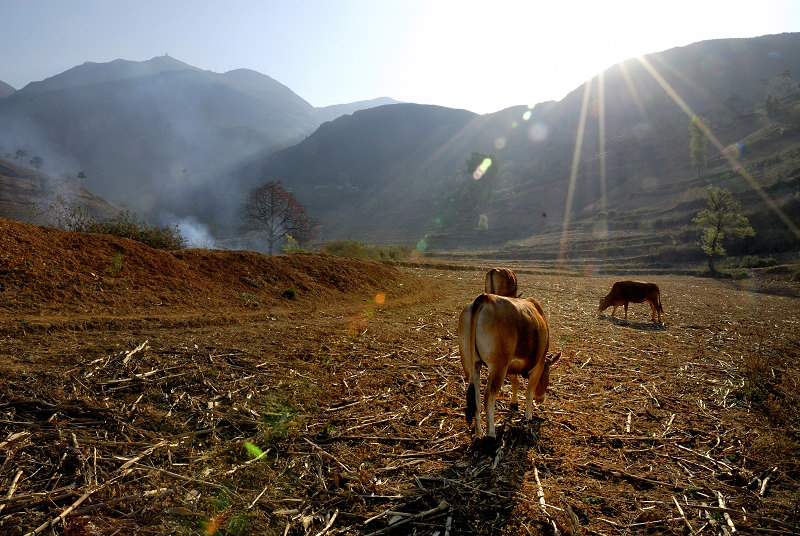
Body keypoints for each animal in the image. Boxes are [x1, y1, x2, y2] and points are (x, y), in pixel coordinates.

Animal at [460, 294, 560, 440]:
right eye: (547, 374)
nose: (541, 399)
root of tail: (486, 298)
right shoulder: (539, 365)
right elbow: (529, 392)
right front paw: (528, 416)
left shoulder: (511, 367)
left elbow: (515, 383)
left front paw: (514, 403)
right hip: (498, 366)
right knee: (489, 395)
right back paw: (491, 433)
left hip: (471, 365)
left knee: (475, 398)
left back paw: (479, 432)